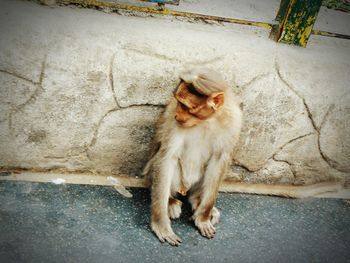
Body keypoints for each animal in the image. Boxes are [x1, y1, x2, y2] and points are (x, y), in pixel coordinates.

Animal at [144, 67, 242, 246]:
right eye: (179, 103)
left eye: (186, 106)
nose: (177, 115)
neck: (207, 121)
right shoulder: (174, 123)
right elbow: (167, 157)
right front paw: (161, 225)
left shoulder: (234, 122)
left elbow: (219, 160)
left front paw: (203, 218)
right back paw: (170, 202)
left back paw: (198, 201)